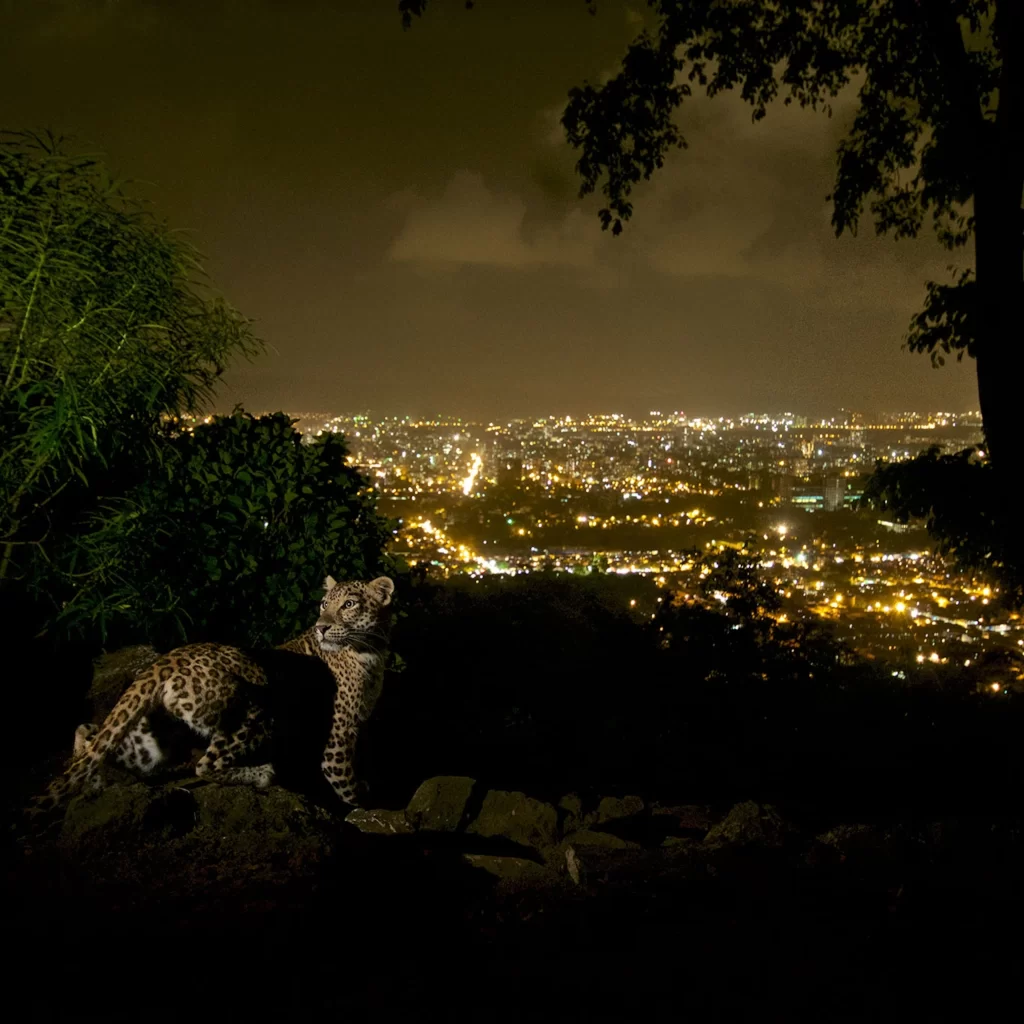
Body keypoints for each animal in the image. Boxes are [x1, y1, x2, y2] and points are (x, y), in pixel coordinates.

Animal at [30, 573, 391, 819]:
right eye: (324, 604)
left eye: (348, 604)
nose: (321, 627)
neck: (371, 652)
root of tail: (162, 662)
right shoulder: (338, 737)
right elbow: (347, 785)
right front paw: (368, 807)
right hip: (255, 708)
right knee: (205, 765)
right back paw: (261, 774)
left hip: (148, 745)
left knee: (90, 734)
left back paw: (92, 781)